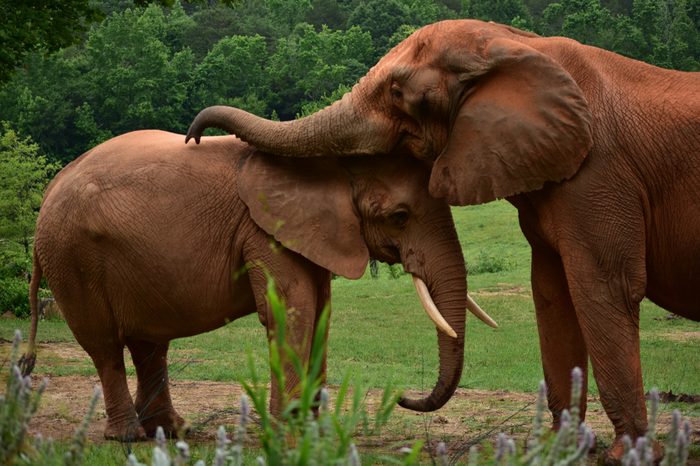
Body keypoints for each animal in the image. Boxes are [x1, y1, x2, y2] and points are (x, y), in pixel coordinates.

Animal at [20, 130, 492, 440]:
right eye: (399, 216)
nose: (406, 398)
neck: (331, 161)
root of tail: (49, 189)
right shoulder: (263, 229)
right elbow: (294, 308)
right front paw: (291, 431)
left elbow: (321, 310)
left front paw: (312, 429)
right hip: (73, 258)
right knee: (104, 345)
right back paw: (129, 437)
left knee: (150, 344)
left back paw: (172, 431)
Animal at [186, 18, 700, 462]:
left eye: (397, 93)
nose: (193, 136)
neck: (516, 44)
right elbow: (553, 295)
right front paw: (559, 449)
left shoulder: (601, 173)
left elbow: (603, 288)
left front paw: (627, 455)